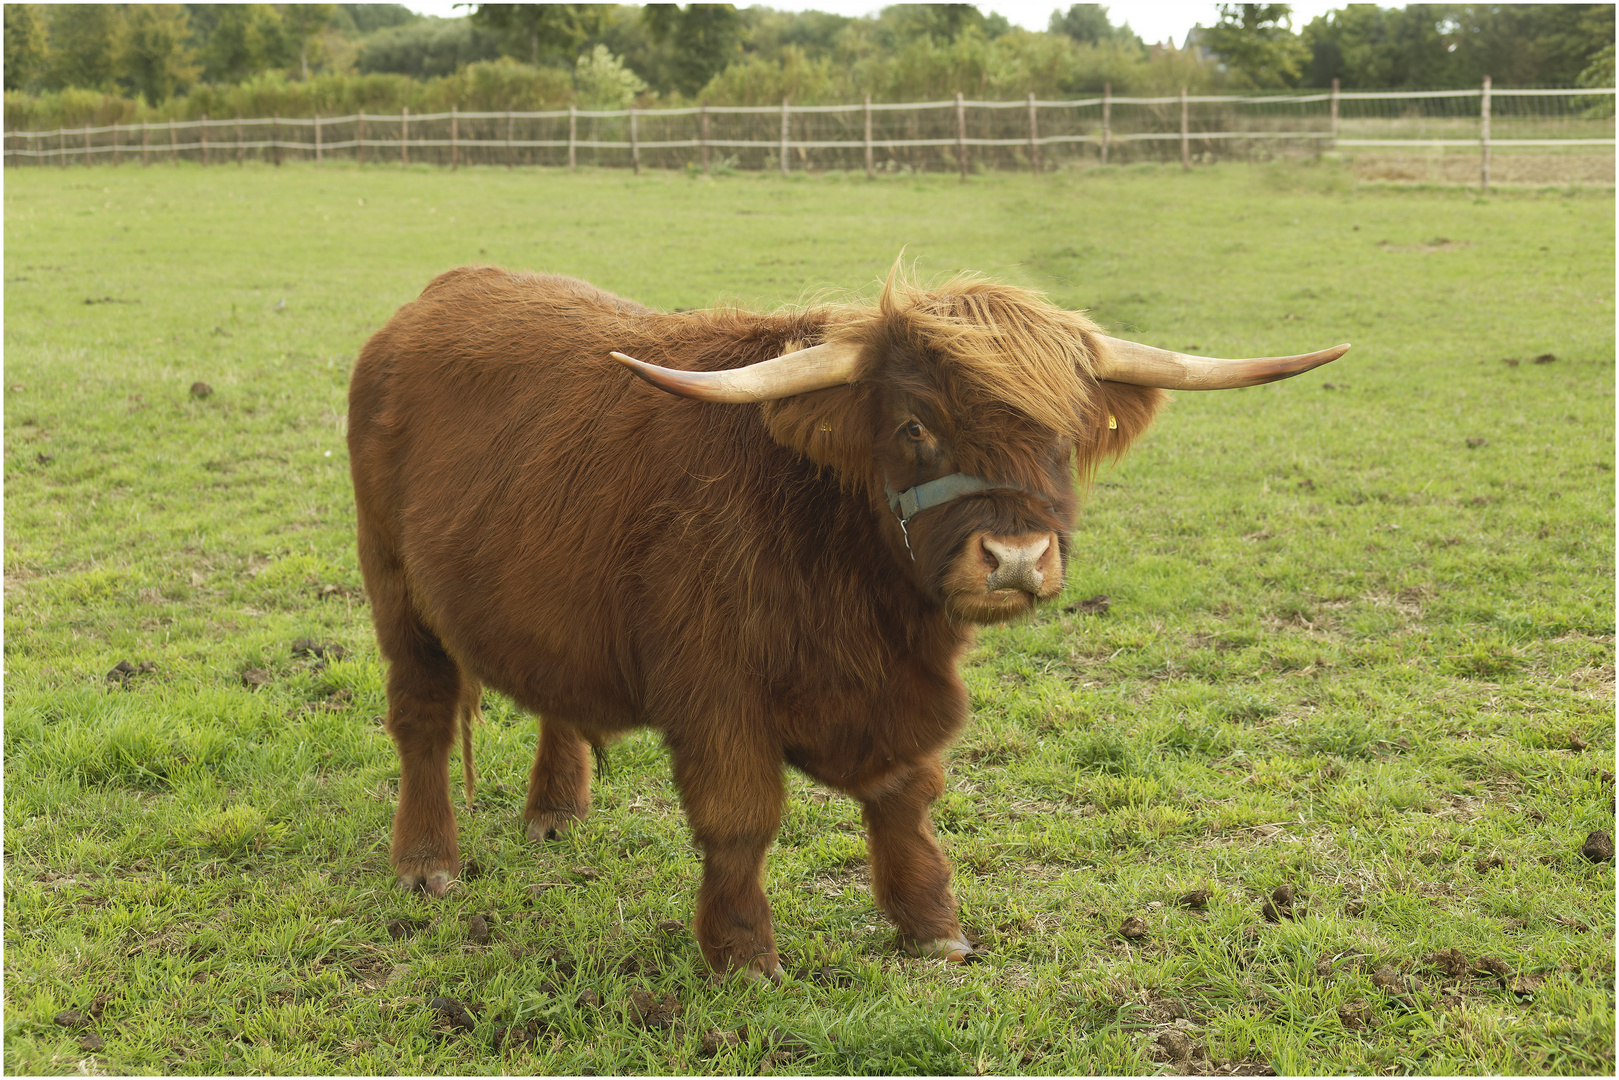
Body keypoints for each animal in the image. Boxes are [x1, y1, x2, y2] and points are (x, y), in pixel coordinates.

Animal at [348, 263, 1347, 977]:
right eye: (913, 427)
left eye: (1065, 431)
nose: (1015, 558)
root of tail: (435, 296)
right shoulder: (715, 694)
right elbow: (740, 818)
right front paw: (743, 956)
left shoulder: (895, 695)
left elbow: (905, 797)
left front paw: (931, 926)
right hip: (396, 591)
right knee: (422, 720)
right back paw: (426, 861)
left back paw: (556, 811)